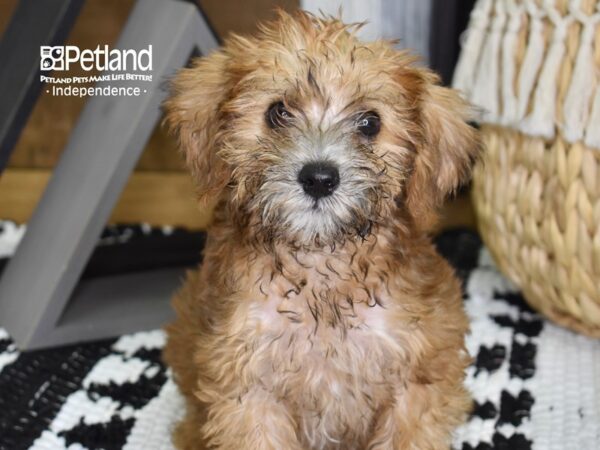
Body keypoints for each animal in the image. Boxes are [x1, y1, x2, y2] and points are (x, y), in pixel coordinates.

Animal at [162, 10, 480, 450]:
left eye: (370, 122)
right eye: (278, 112)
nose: (319, 178)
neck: (322, 273)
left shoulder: (419, 381)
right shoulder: (247, 391)